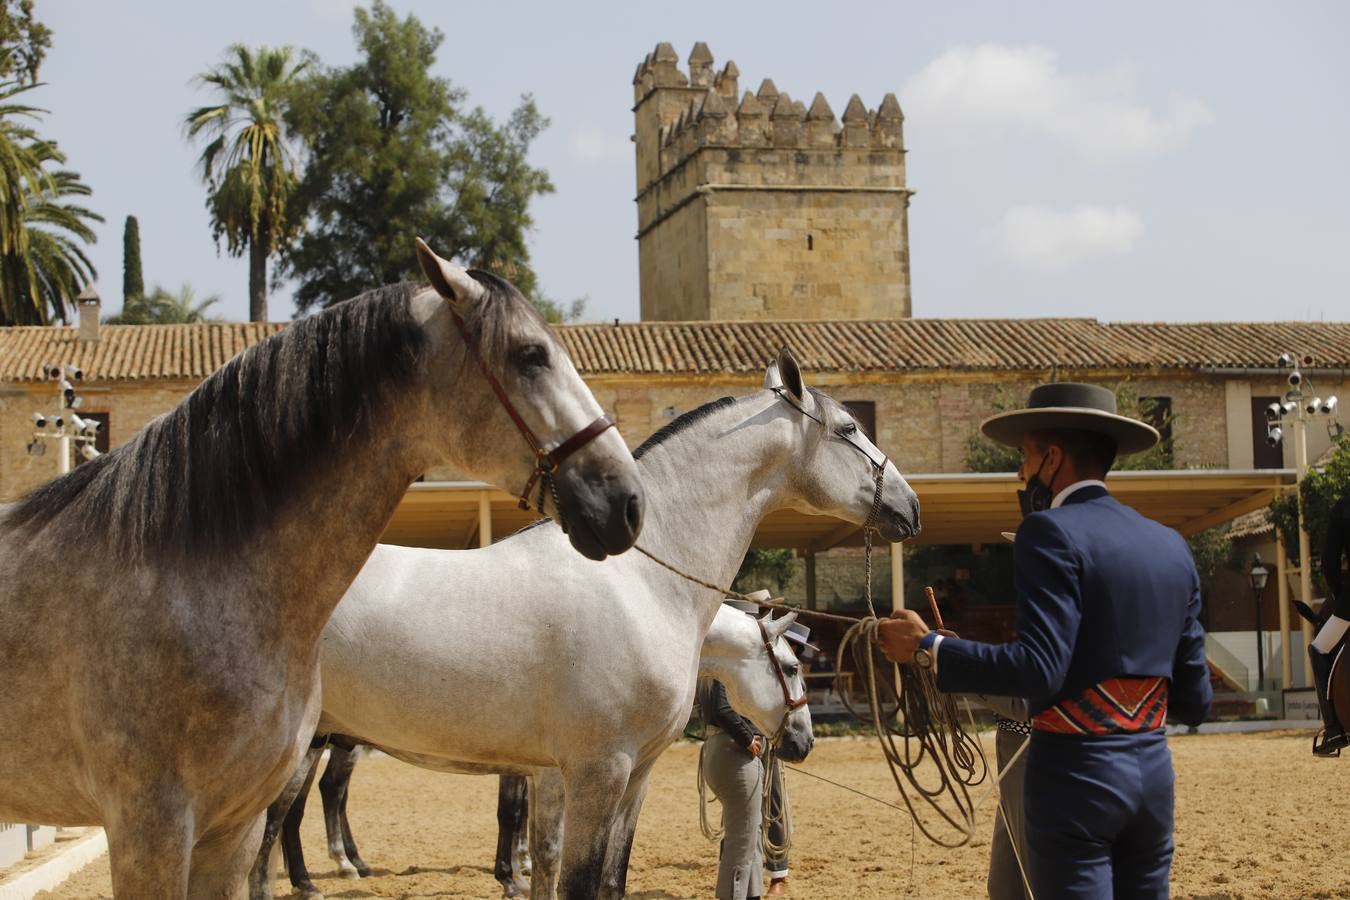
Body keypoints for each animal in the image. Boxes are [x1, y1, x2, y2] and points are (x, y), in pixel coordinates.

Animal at [267, 601, 804, 895]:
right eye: (793, 666)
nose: (801, 740)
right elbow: (513, 815)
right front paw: (510, 875)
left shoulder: (539, 768)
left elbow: (529, 825)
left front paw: (516, 869)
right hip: (315, 746)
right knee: (297, 806)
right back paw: (312, 878)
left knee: (322, 798)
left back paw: (342, 865)